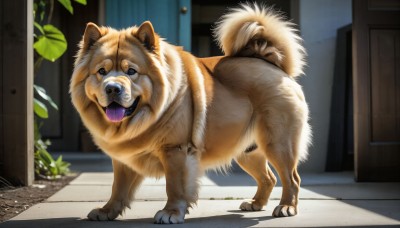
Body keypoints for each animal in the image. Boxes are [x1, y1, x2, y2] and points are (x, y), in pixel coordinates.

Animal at [70, 3, 310, 224]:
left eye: (131, 71)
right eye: (102, 72)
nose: (112, 88)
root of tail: (274, 66)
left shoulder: (176, 151)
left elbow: (174, 186)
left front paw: (171, 213)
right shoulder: (123, 160)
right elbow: (118, 188)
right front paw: (107, 211)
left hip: (278, 144)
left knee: (292, 178)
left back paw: (286, 207)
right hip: (248, 152)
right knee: (268, 178)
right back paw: (255, 203)